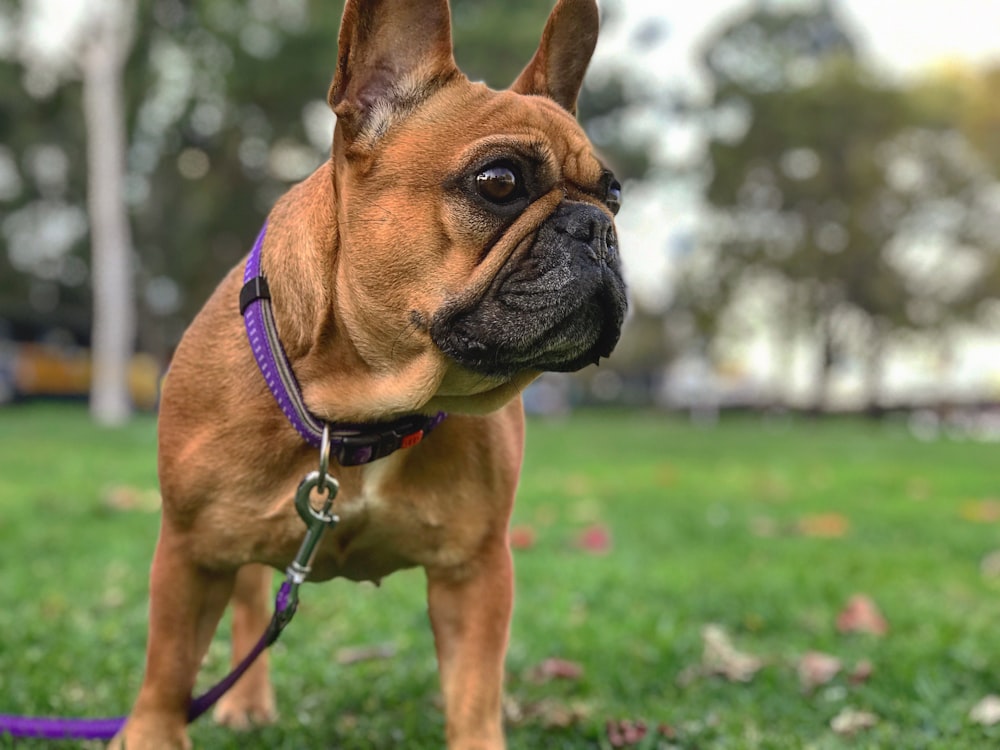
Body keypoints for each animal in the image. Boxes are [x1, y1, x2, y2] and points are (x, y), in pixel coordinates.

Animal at [115, 1, 624, 750]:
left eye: (615, 195)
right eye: (499, 182)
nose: (597, 227)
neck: (363, 408)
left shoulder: (476, 571)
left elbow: (474, 689)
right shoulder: (189, 553)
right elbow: (167, 664)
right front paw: (151, 734)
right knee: (247, 602)